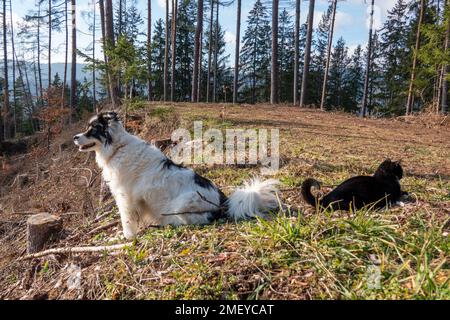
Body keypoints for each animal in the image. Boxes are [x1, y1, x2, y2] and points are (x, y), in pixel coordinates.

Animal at [73, 111, 282, 239]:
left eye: (92, 129)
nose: (75, 137)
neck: (117, 148)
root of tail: (224, 202)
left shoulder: (125, 198)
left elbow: (127, 221)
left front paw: (127, 237)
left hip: (184, 203)